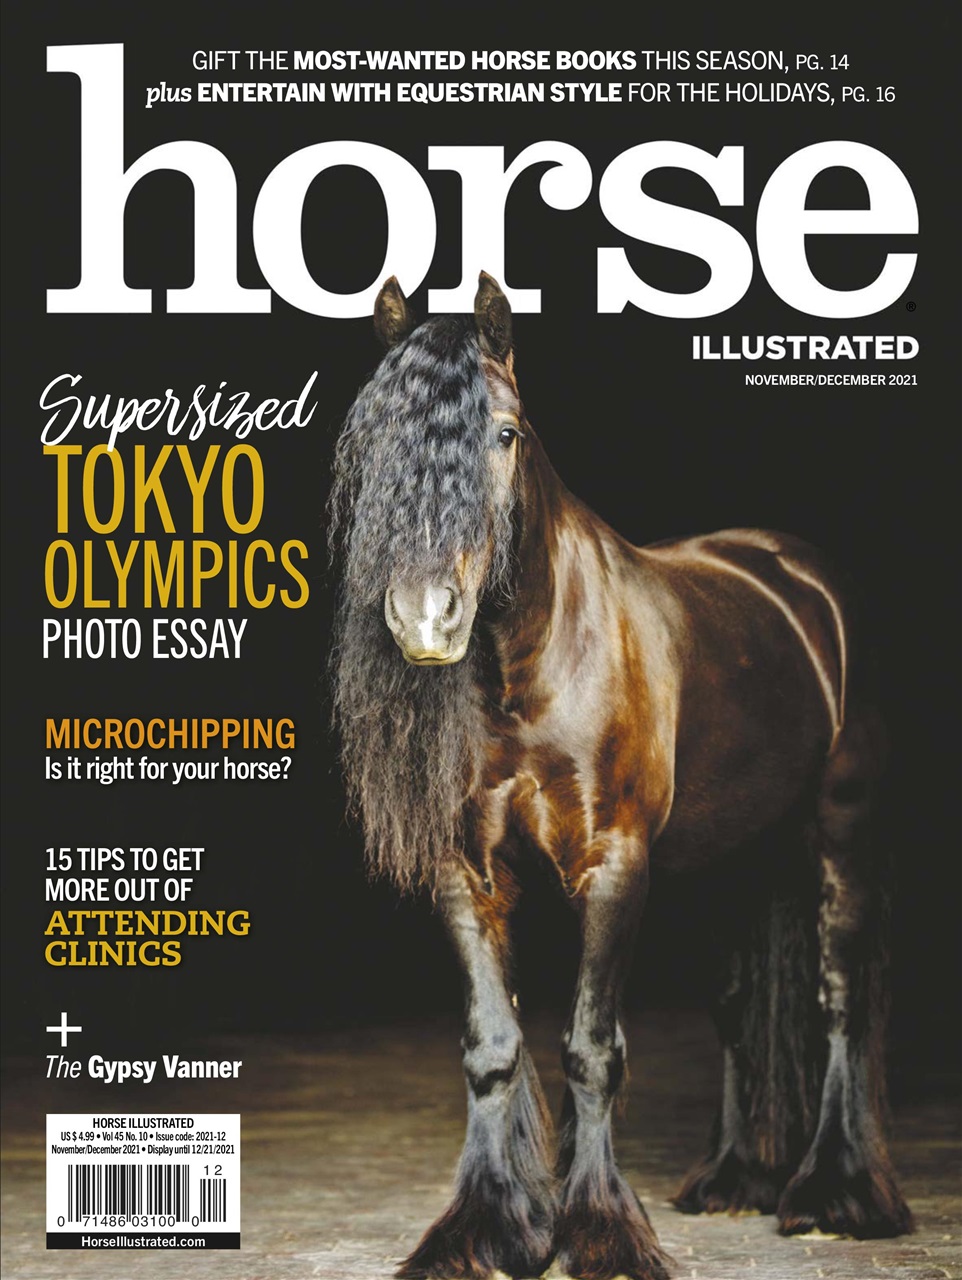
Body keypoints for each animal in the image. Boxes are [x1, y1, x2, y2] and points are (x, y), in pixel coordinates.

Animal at [329, 272, 913, 1280]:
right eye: (376, 438)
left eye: (505, 433)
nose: (426, 615)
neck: (529, 671)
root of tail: (802, 575)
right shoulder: (466, 872)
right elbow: (493, 1047)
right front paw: (486, 1229)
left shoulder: (613, 865)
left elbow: (592, 1049)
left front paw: (601, 1232)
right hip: (731, 857)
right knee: (736, 1010)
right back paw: (733, 1178)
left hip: (840, 828)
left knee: (840, 996)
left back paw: (834, 1192)